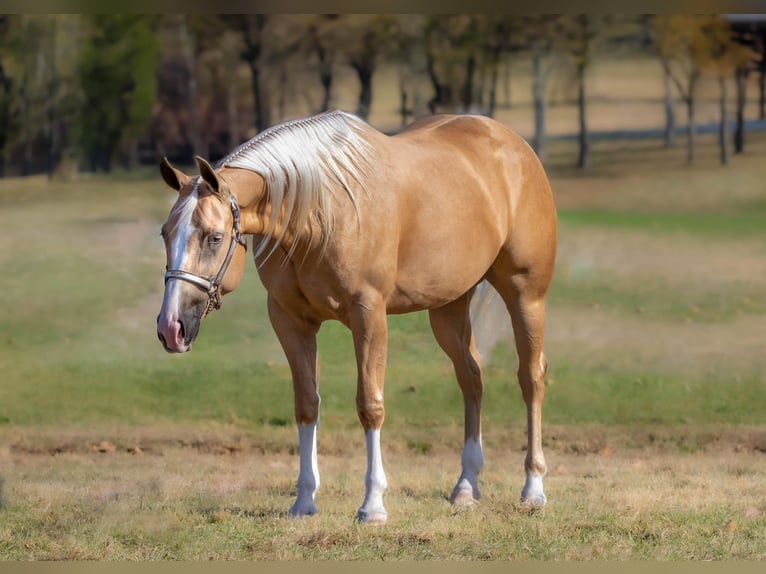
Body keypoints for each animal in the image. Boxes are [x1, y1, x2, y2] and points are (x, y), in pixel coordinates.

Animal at [156, 109, 560, 528]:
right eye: (165, 233)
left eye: (214, 237)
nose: (171, 328)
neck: (318, 210)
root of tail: (513, 144)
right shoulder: (289, 320)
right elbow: (306, 404)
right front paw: (304, 501)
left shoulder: (368, 315)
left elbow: (370, 404)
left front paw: (373, 505)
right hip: (448, 308)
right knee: (472, 377)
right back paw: (466, 487)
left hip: (526, 295)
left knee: (531, 377)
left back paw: (533, 489)